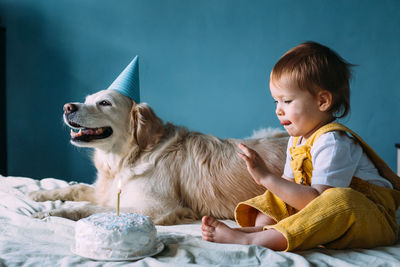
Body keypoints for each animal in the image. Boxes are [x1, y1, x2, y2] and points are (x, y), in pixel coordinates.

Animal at [29, 90, 290, 226]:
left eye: (104, 103)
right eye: (87, 99)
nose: (67, 107)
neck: (128, 156)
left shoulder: (154, 207)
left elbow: (90, 207)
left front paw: (54, 212)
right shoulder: (107, 190)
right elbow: (75, 189)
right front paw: (39, 195)